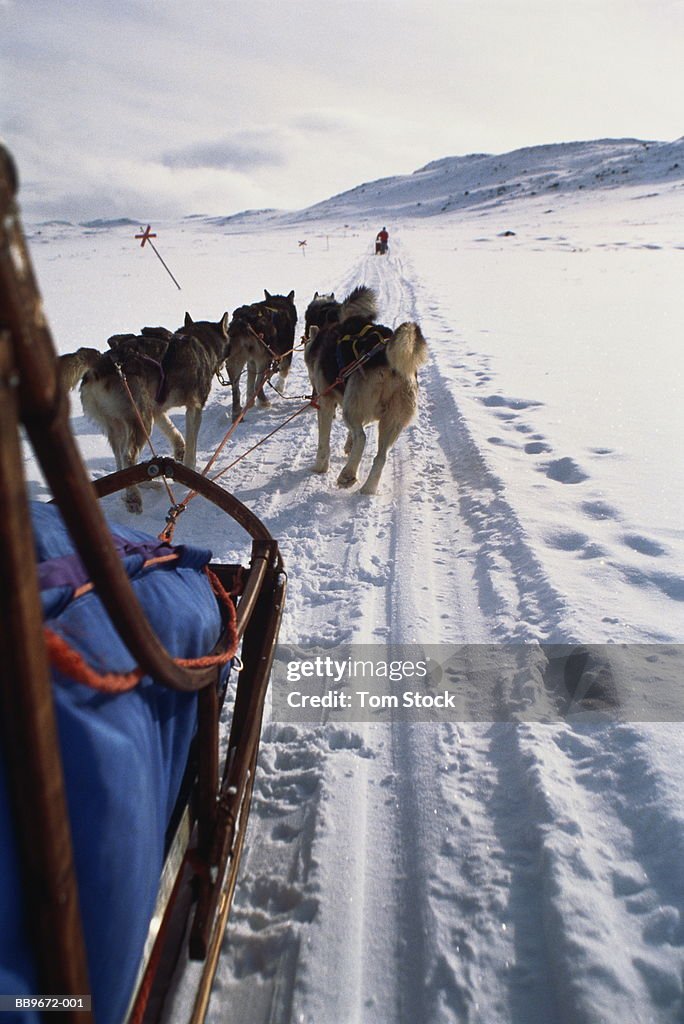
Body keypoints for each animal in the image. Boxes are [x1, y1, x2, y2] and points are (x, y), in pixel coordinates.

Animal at [80, 311, 229, 512]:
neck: (201, 341)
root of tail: (98, 369)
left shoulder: (157, 410)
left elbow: (174, 432)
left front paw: (179, 451)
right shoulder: (194, 407)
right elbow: (191, 446)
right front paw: (190, 471)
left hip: (120, 425)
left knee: (121, 462)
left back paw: (141, 484)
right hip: (141, 421)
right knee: (128, 456)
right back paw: (134, 497)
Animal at [225, 288, 296, 419]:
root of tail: (245, 323)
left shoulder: (251, 362)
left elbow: (250, 383)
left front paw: (250, 401)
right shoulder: (286, 353)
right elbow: (283, 371)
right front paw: (280, 388)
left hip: (234, 363)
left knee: (235, 389)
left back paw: (237, 412)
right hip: (264, 359)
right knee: (259, 384)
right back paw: (264, 402)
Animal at [303, 286, 423, 493]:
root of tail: (387, 361)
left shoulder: (326, 403)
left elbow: (323, 442)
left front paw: (319, 467)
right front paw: (347, 446)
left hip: (351, 408)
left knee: (362, 438)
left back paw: (348, 474)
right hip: (391, 419)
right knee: (381, 456)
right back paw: (368, 488)